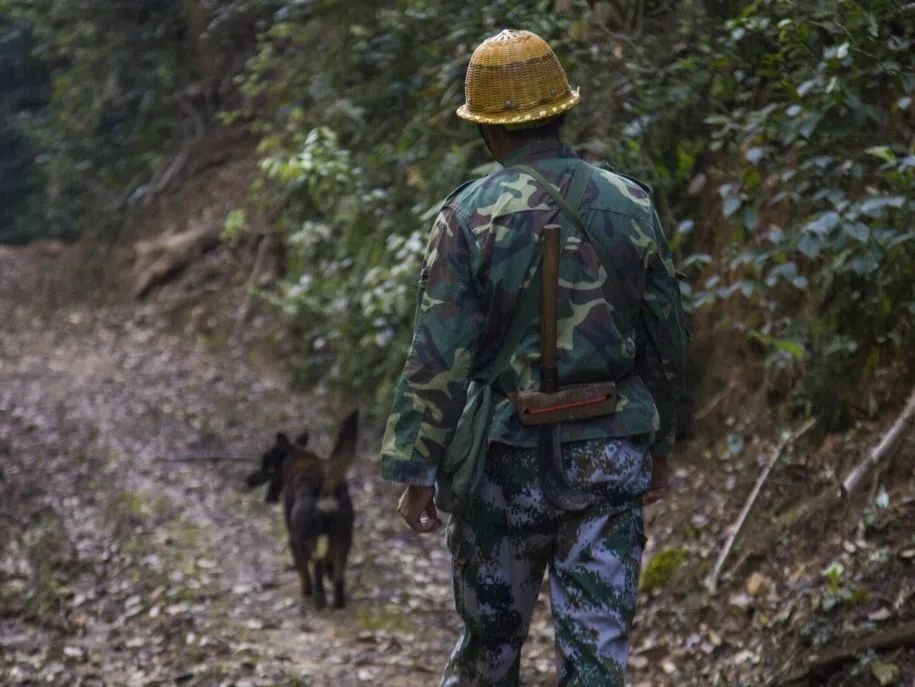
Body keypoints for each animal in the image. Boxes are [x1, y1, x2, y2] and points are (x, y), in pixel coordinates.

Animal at [247, 412, 358, 612]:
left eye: (266, 465)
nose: (248, 480)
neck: (296, 454)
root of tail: (325, 487)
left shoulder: (294, 539)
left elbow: (303, 571)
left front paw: (306, 591)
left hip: (305, 539)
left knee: (315, 566)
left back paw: (318, 599)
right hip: (343, 538)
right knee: (337, 572)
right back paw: (338, 602)